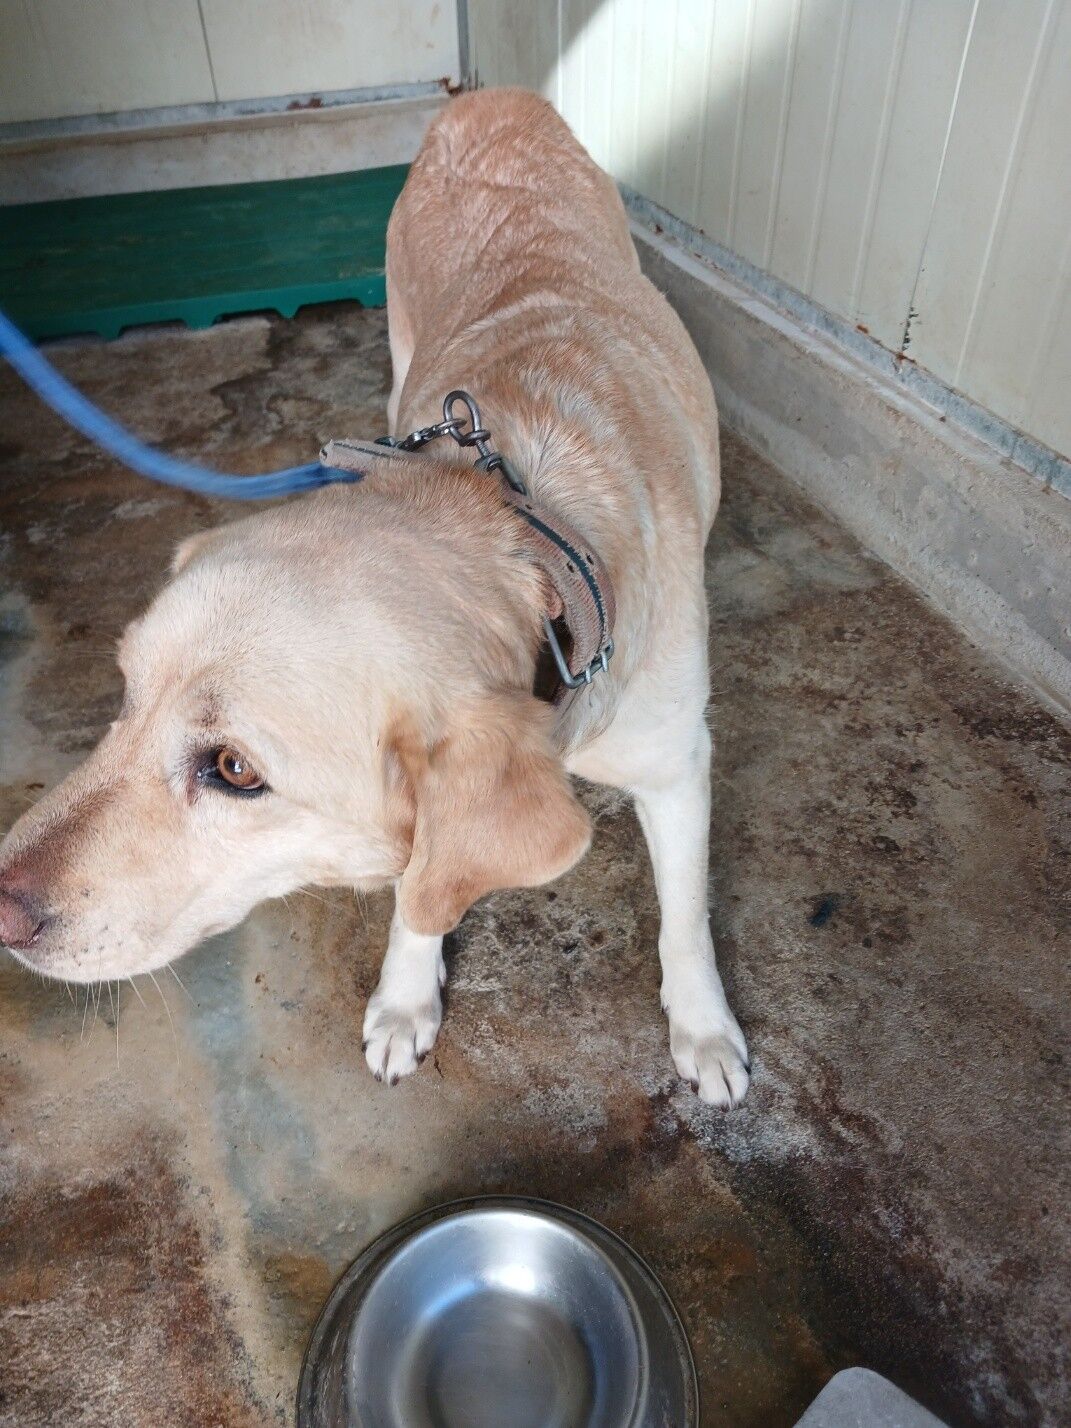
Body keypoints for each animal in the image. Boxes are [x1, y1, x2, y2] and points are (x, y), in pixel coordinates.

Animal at [0, 89, 749, 1107]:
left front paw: (703, 1028)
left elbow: (684, 917)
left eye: (234, 770)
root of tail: (493, 96)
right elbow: (417, 892)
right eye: (126, 693)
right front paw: (406, 996)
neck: (524, 548)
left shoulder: (677, 766)